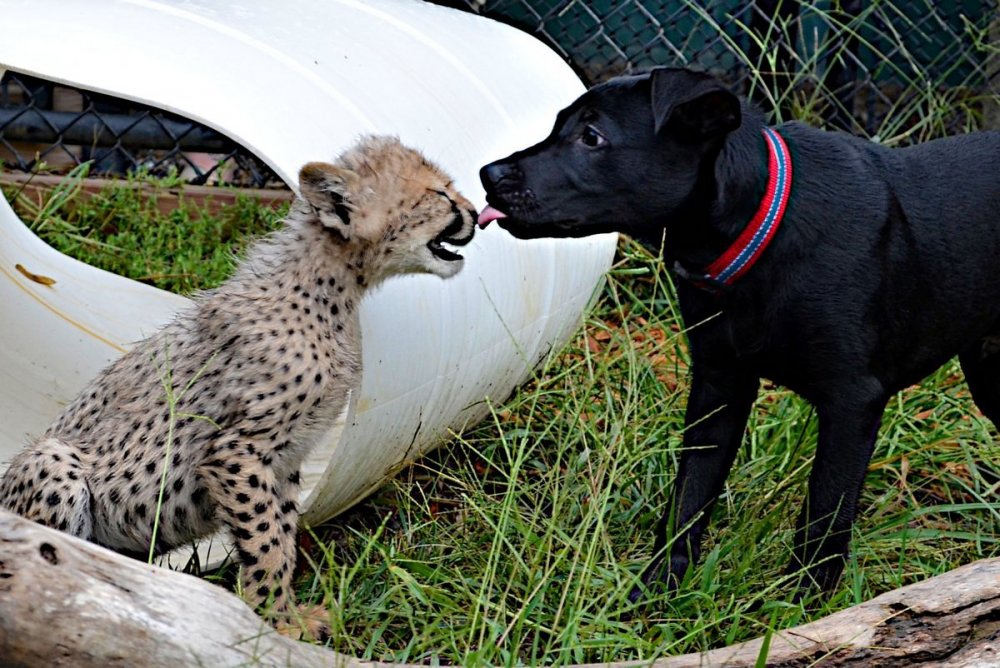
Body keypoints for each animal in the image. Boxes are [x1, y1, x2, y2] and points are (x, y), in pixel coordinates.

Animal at [474, 66, 1000, 600]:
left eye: (592, 137)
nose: (488, 174)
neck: (764, 227)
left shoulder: (852, 400)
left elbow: (825, 510)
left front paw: (802, 606)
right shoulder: (718, 384)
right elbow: (690, 493)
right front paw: (658, 587)